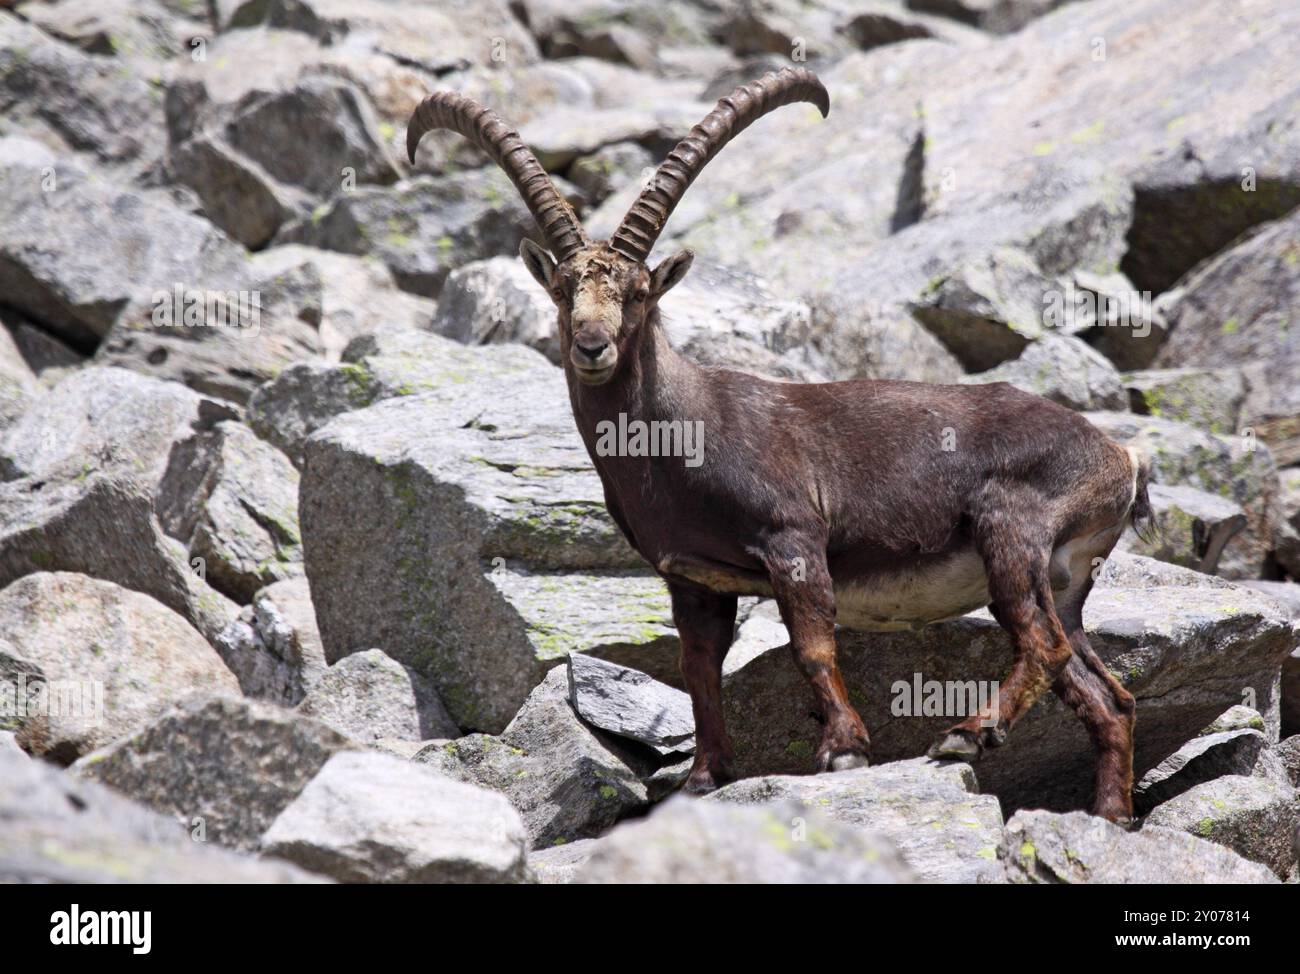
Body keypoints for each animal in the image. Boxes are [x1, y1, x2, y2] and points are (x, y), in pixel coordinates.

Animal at [407, 67, 1151, 821]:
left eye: (640, 291)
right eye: (561, 290)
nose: (592, 345)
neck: (681, 434)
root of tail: (1119, 459)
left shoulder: (793, 540)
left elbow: (813, 647)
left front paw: (843, 749)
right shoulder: (690, 578)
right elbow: (699, 671)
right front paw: (704, 776)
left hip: (1012, 531)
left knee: (1044, 645)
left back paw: (969, 734)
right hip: (1065, 580)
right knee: (1108, 698)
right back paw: (1109, 816)